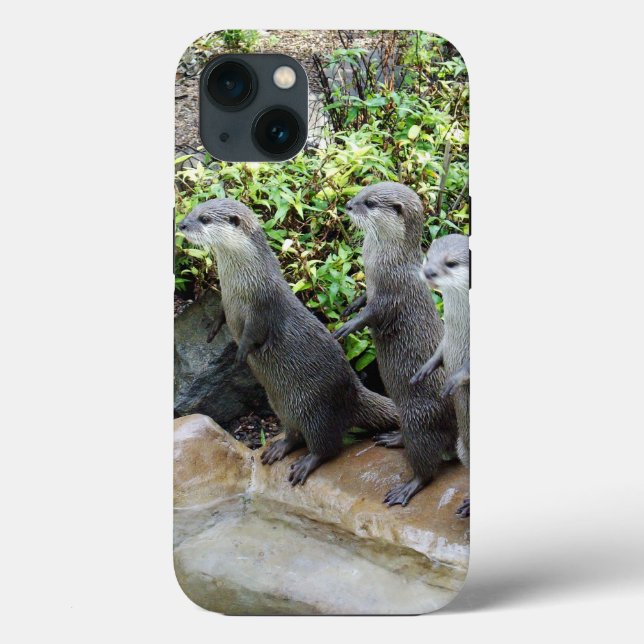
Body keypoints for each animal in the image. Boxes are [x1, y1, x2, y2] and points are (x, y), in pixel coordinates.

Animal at [178, 198, 400, 485]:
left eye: (204, 219)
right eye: (193, 211)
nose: (182, 224)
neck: (240, 285)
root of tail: (353, 391)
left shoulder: (263, 305)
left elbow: (253, 333)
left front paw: (240, 354)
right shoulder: (227, 300)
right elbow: (222, 315)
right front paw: (212, 328)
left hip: (318, 411)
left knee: (328, 446)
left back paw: (306, 464)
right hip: (282, 406)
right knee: (295, 434)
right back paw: (280, 448)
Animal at [334, 182, 458, 507]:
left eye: (369, 203)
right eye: (362, 191)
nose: (348, 205)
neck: (384, 261)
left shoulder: (393, 292)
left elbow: (374, 313)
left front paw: (348, 326)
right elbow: (364, 300)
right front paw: (351, 306)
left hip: (420, 419)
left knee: (428, 467)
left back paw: (408, 487)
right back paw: (393, 438)